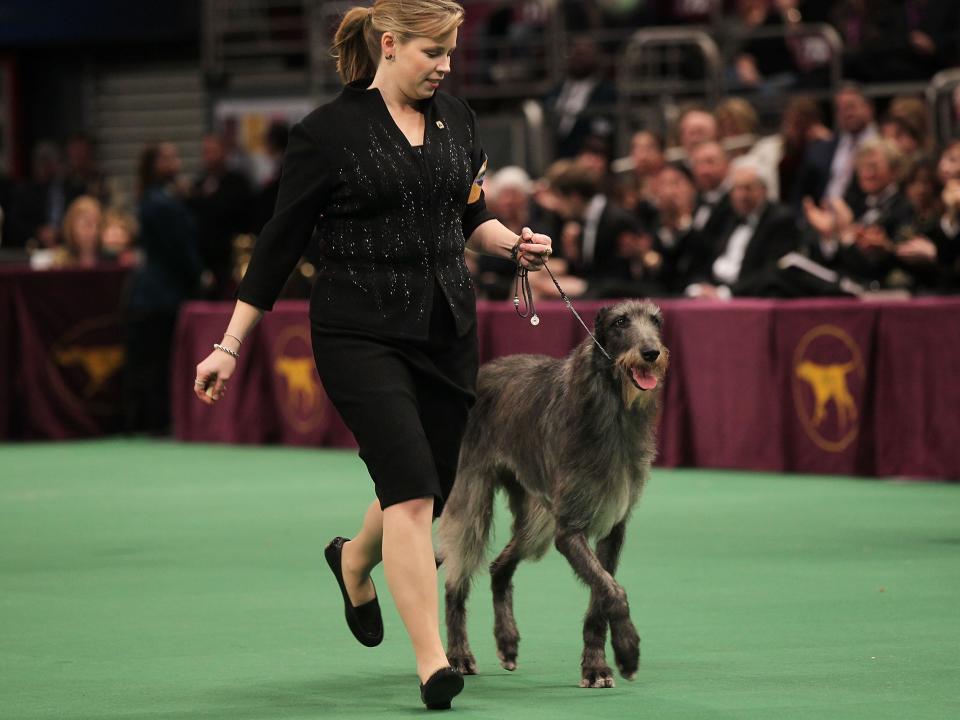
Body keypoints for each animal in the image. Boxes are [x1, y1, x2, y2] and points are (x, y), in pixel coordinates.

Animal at [436, 298, 668, 688]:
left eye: (656, 322)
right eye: (621, 322)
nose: (651, 352)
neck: (612, 407)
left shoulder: (612, 527)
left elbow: (600, 594)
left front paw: (596, 665)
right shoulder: (570, 528)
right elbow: (612, 590)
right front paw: (627, 649)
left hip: (537, 517)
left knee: (500, 566)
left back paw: (507, 641)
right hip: (472, 495)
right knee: (457, 579)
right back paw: (459, 655)